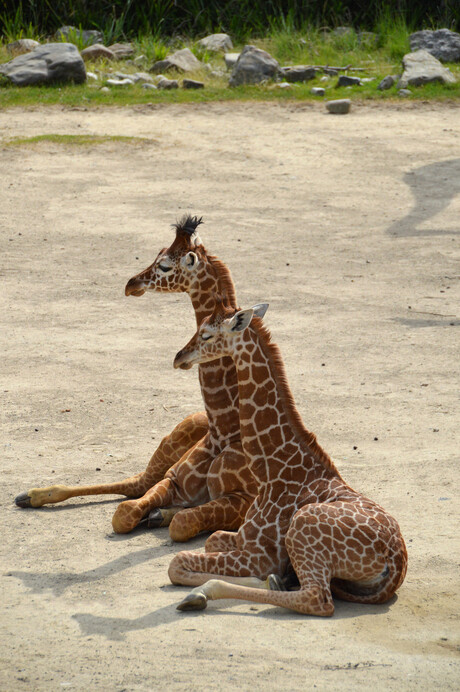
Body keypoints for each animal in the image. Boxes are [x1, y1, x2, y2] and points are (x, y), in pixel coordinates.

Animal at [14, 216, 256, 540]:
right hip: (170, 443)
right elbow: (125, 513)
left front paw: (165, 515)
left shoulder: (247, 501)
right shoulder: (173, 478)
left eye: (164, 265)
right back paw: (31, 495)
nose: (132, 284)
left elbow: (183, 521)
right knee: (135, 483)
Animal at [168, 302, 406, 616]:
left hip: (303, 528)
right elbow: (210, 538)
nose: (179, 357)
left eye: (206, 334)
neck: (271, 468)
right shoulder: (241, 538)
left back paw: (207, 592)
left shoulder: (259, 555)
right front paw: (276, 579)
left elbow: (176, 562)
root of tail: (396, 562)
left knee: (318, 599)